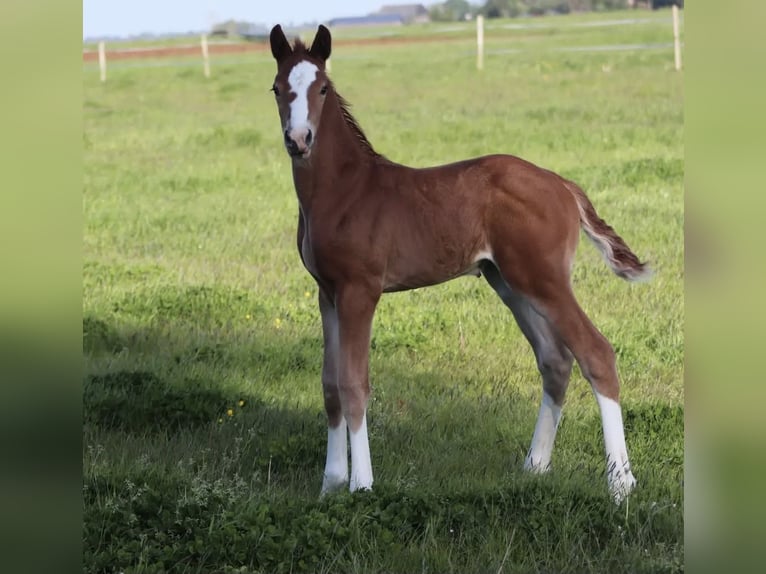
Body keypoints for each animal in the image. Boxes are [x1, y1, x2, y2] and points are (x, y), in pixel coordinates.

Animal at [268, 24, 649, 502]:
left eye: (321, 88)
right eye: (277, 88)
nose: (298, 140)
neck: (344, 191)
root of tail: (562, 184)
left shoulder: (360, 290)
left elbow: (355, 383)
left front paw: (362, 486)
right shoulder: (327, 292)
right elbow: (330, 385)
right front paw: (330, 485)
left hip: (542, 278)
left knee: (596, 353)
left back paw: (620, 484)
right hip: (508, 281)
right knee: (555, 360)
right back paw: (534, 467)